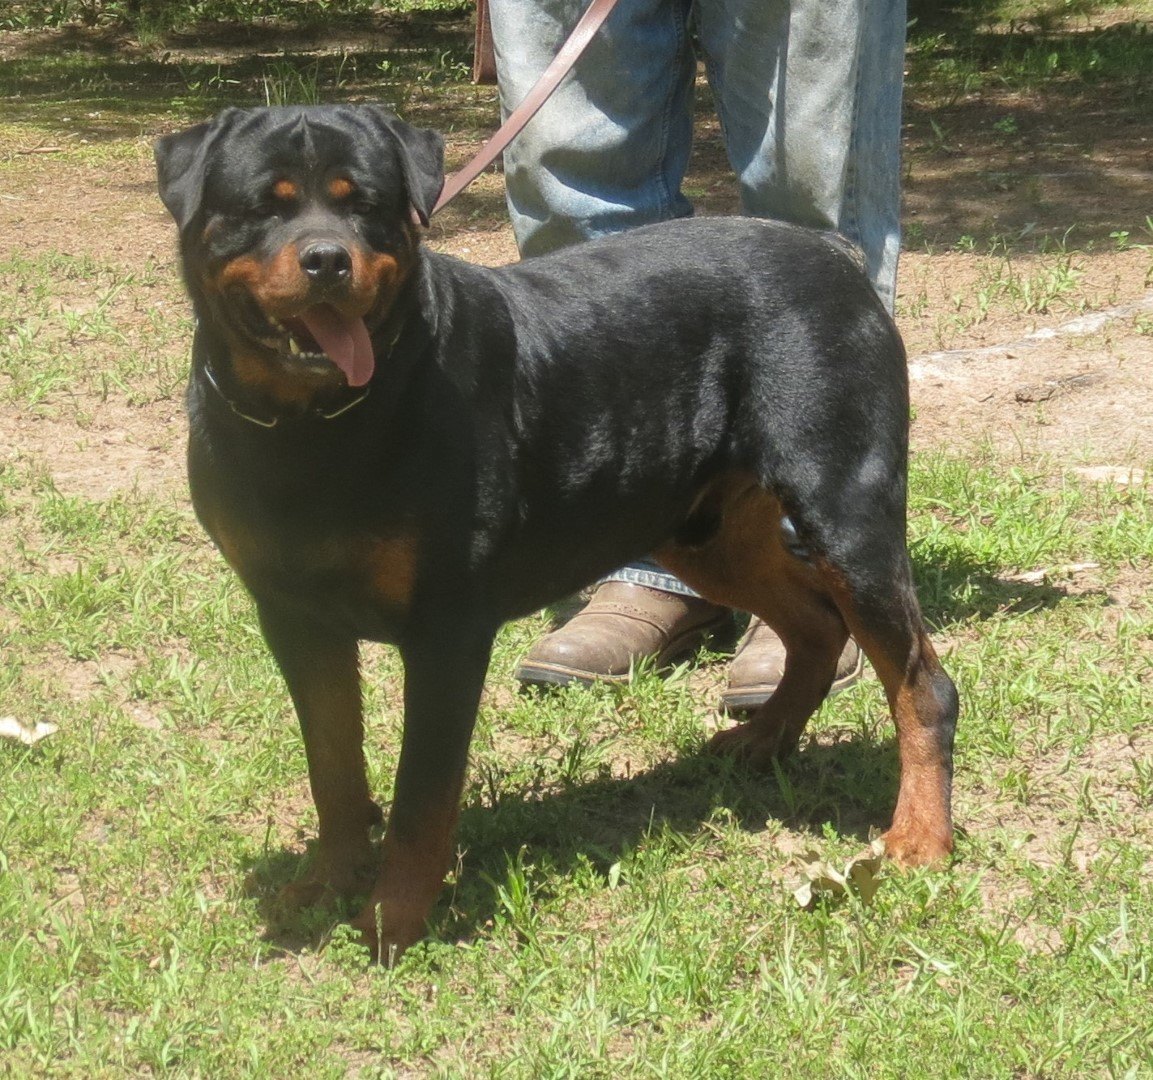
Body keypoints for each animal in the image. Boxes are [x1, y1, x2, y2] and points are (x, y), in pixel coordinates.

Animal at [157, 103, 959, 958]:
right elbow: (332, 767)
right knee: (811, 625)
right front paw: (325, 883)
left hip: (845, 512)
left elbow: (419, 796)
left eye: (363, 204)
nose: (326, 260)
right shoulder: (293, 619)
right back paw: (762, 739)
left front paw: (392, 919)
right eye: (264, 206)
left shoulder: (446, 627)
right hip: (701, 531)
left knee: (920, 683)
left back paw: (918, 838)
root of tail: (834, 254)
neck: (312, 425)